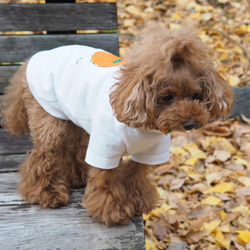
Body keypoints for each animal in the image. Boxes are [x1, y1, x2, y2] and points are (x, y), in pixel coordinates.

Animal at [0, 23, 233, 227]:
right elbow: (105, 179)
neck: (146, 126)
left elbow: (135, 173)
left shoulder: (152, 151)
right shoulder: (106, 145)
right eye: (167, 97)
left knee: (72, 147)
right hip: (48, 116)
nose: (191, 123)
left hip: (75, 118)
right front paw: (112, 211)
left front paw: (138, 201)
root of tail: (33, 59)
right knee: (44, 154)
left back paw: (76, 177)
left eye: (196, 95)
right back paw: (47, 192)